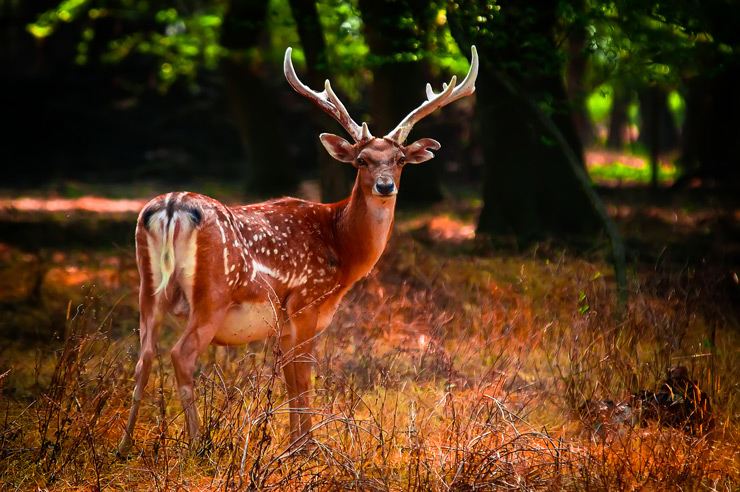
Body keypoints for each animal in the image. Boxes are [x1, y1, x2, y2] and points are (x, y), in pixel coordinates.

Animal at [114, 44, 474, 456]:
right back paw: (198, 445)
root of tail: (171, 207)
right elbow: (303, 376)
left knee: (143, 357)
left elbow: (289, 377)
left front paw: (292, 444)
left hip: (147, 288)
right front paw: (307, 448)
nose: (385, 186)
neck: (342, 248)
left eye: (399, 160)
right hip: (212, 294)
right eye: (361, 160)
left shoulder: (284, 320)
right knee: (181, 354)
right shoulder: (306, 300)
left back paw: (124, 445)